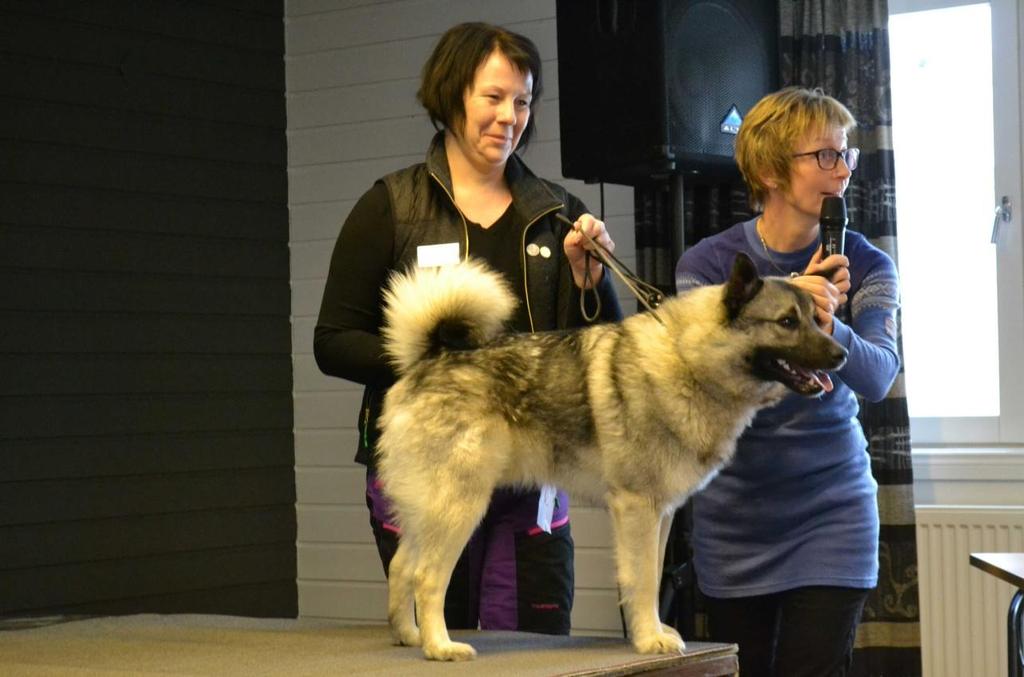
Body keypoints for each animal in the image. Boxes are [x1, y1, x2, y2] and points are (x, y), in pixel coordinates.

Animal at [376, 250, 847, 655]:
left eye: (816, 319)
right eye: (786, 322)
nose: (841, 353)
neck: (688, 358)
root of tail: (427, 360)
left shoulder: (661, 514)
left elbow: (650, 576)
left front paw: (655, 631)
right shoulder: (638, 509)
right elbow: (642, 580)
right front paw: (649, 639)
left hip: (428, 510)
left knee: (401, 568)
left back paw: (409, 636)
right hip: (461, 506)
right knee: (426, 578)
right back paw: (440, 647)